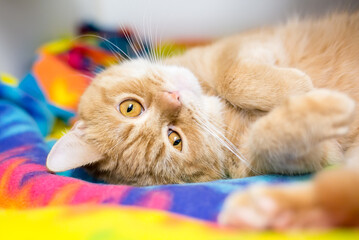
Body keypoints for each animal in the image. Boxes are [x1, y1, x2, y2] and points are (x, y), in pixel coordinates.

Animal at [46, 11, 358, 227]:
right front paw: (319, 100)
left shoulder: (243, 45)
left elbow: (234, 77)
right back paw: (267, 212)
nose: (175, 98)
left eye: (130, 108)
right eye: (175, 139)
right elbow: (271, 139)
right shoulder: (309, 156)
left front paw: (299, 86)